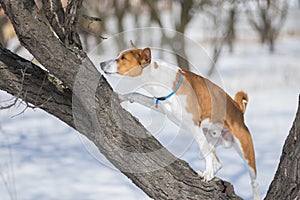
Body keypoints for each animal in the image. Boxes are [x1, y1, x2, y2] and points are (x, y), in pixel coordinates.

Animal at [100, 41, 260, 198]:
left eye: (123, 58)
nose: (101, 63)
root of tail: (238, 108)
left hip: (245, 150)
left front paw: (208, 175)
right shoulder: (160, 105)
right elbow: (136, 95)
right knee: (218, 162)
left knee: (253, 181)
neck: (160, 78)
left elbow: (205, 153)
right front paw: (122, 97)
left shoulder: (194, 125)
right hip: (207, 137)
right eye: (118, 55)